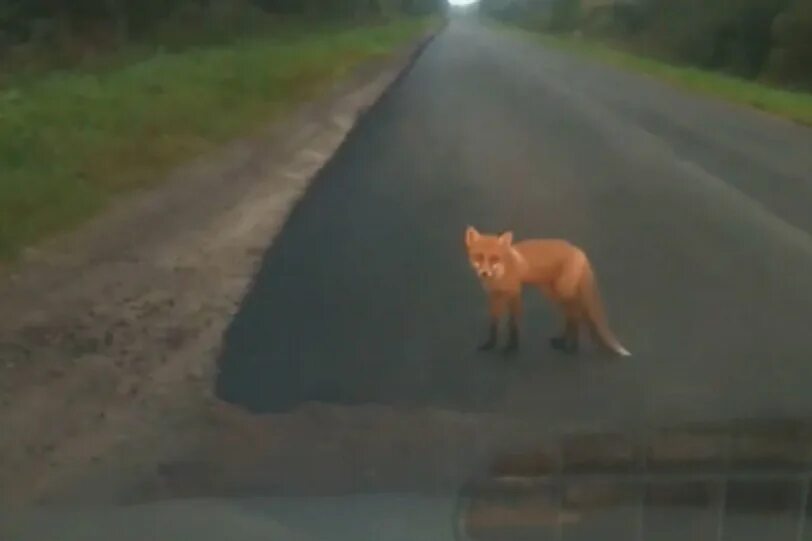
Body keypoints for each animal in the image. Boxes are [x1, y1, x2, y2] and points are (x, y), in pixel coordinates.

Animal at [464, 226, 628, 356]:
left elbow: (513, 323)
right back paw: (562, 342)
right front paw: (490, 345)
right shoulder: (494, 296)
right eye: (478, 257)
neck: (500, 274)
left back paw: (571, 347)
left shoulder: (514, 294)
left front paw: (511, 347)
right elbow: (493, 323)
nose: (484, 273)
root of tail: (578, 250)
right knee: (570, 315)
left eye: (494, 258)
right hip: (553, 293)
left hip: (563, 292)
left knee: (576, 314)